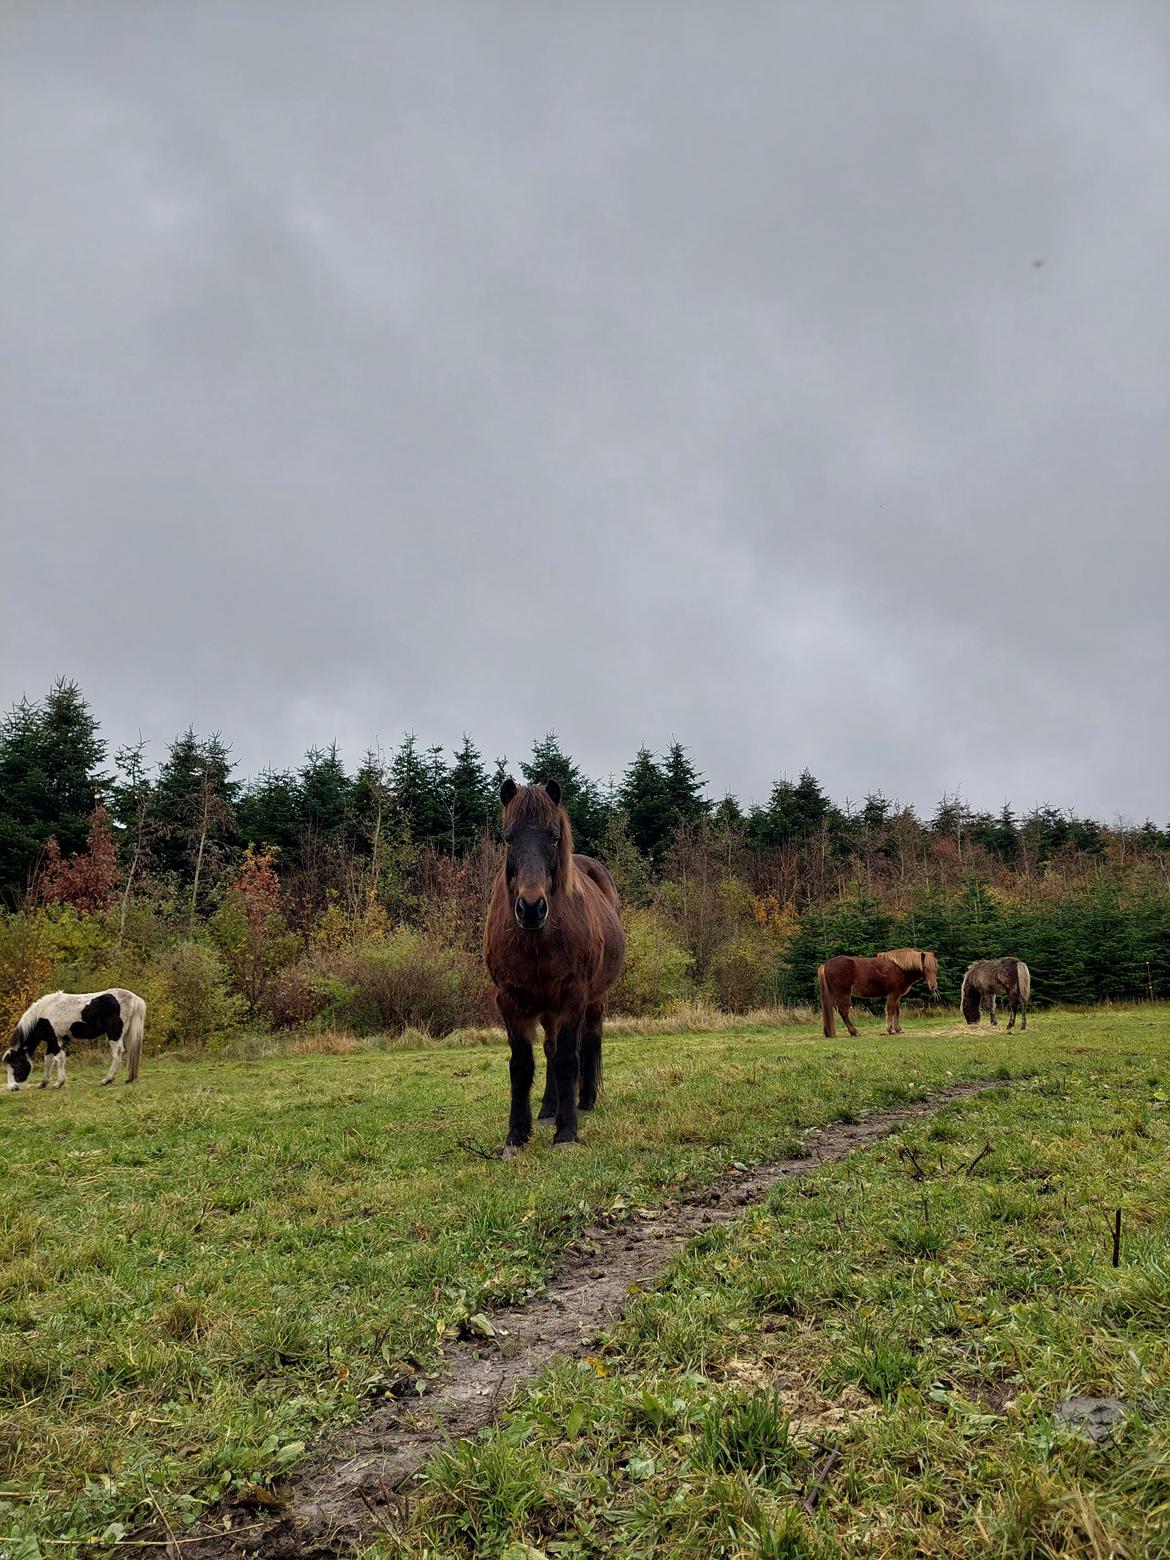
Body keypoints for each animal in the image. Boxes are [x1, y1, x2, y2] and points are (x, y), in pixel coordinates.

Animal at [2, 992, 146, 1092]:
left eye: (15, 1065)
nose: (12, 1087)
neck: (43, 1013)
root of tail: (134, 998)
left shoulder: (55, 1040)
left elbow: (59, 1060)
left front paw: (59, 1083)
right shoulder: (51, 1042)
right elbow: (48, 1061)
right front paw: (43, 1083)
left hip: (114, 1035)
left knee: (117, 1055)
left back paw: (106, 1080)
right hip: (125, 1034)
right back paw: (129, 1078)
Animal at [483, 780, 627, 1160]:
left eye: (554, 837)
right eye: (508, 838)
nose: (531, 908)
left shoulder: (573, 995)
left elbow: (566, 1059)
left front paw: (566, 1132)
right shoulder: (510, 999)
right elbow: (522, 1065)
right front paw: (517, 1135)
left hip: (593, 1001)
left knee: (588, 1042)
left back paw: (584, 1101)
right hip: (547, 1008)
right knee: (548, 1048)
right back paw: (549, 1109)